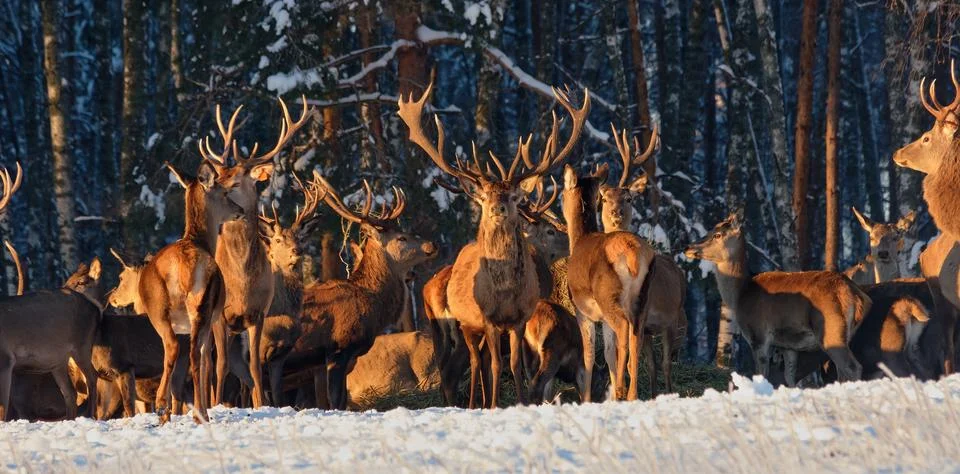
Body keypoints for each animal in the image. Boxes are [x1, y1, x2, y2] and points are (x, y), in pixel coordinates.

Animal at [137, 159, 243, 423]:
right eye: (224, 192)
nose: (240, 210)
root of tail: (185, 267)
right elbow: (206, 360)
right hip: (201, 307)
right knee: (196, 356)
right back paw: (197, 413)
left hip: (161, 309)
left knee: (174, 347)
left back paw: (164, 408)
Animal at [197, 98, 312, 409]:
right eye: (219, 178)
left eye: (236, 182)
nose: (208, 189)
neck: (242, 282)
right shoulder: (221, 315)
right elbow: (220, 365)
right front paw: (216, 405)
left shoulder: (258, 314)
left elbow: (255, 369)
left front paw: (262, 405)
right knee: (205, 361)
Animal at [399, 83, 590, 408]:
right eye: (486, 195)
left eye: (513, 196)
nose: (498, 208)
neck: (504, 293)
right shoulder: (487, 319)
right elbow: (498, 365)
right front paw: (493, 405)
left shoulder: (519, 319)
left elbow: (514, 364)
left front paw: (520, 402)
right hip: (465, 325)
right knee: (475, 363)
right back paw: (476, 402)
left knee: (475, 363)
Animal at [598, 125, 687, 397]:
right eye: (604, 199)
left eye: (628, 199)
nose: (615, 212)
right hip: (650, 327)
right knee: (652, 364)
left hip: (673, 320)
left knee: (666, 363)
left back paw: (667, 392)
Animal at [684, 212, 870, 386]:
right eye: (709, 230)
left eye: (718, 234)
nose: (687, 247)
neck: (740, 294)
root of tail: (856, 294)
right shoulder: (788, 346)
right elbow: (790, 379)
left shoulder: (758, 335)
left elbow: (762, 374)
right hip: (847, 333)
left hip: (831, 329)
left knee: (852, 367)